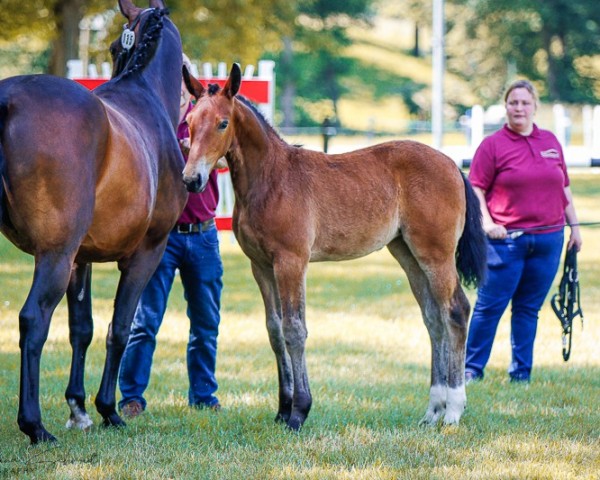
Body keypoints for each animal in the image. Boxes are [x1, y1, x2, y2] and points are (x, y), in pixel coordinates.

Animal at [0, 0, 186, 444]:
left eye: (115, 46)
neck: (145, 95)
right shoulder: (146, 254)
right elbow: (120, 327)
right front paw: (107, 409)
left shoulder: (80, 259)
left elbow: (81, 328)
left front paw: (78, 408)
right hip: (53, 256)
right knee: (33, 320)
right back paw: (34, 425)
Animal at [183, 64, 488, 432]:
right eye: (189, 122)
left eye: (222, 123)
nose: (192, 180)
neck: (271, 179)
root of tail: (453, 165)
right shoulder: (261, 265)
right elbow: (274, 331)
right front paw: (282, 409)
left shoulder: (291, 262)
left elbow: (294, 329)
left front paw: (299, 411)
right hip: (407, 253)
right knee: (433, 317)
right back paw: (433, 410)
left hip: (436, 254)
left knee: (455, 311)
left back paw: (453, 411)